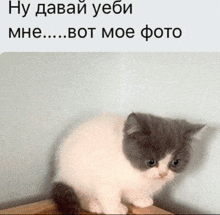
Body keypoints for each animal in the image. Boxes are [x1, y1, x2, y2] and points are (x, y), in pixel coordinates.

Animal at [51, 111, 205, 214]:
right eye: (151, 161)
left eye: (175, 162)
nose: (163, 174)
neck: (135, 172)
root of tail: (61, 174)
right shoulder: (106, 178)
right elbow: (110, 195)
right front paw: (114, 209)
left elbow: (135, 191)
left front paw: (141, 199)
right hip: (79, 173)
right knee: (81, 192)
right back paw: (93, 204)